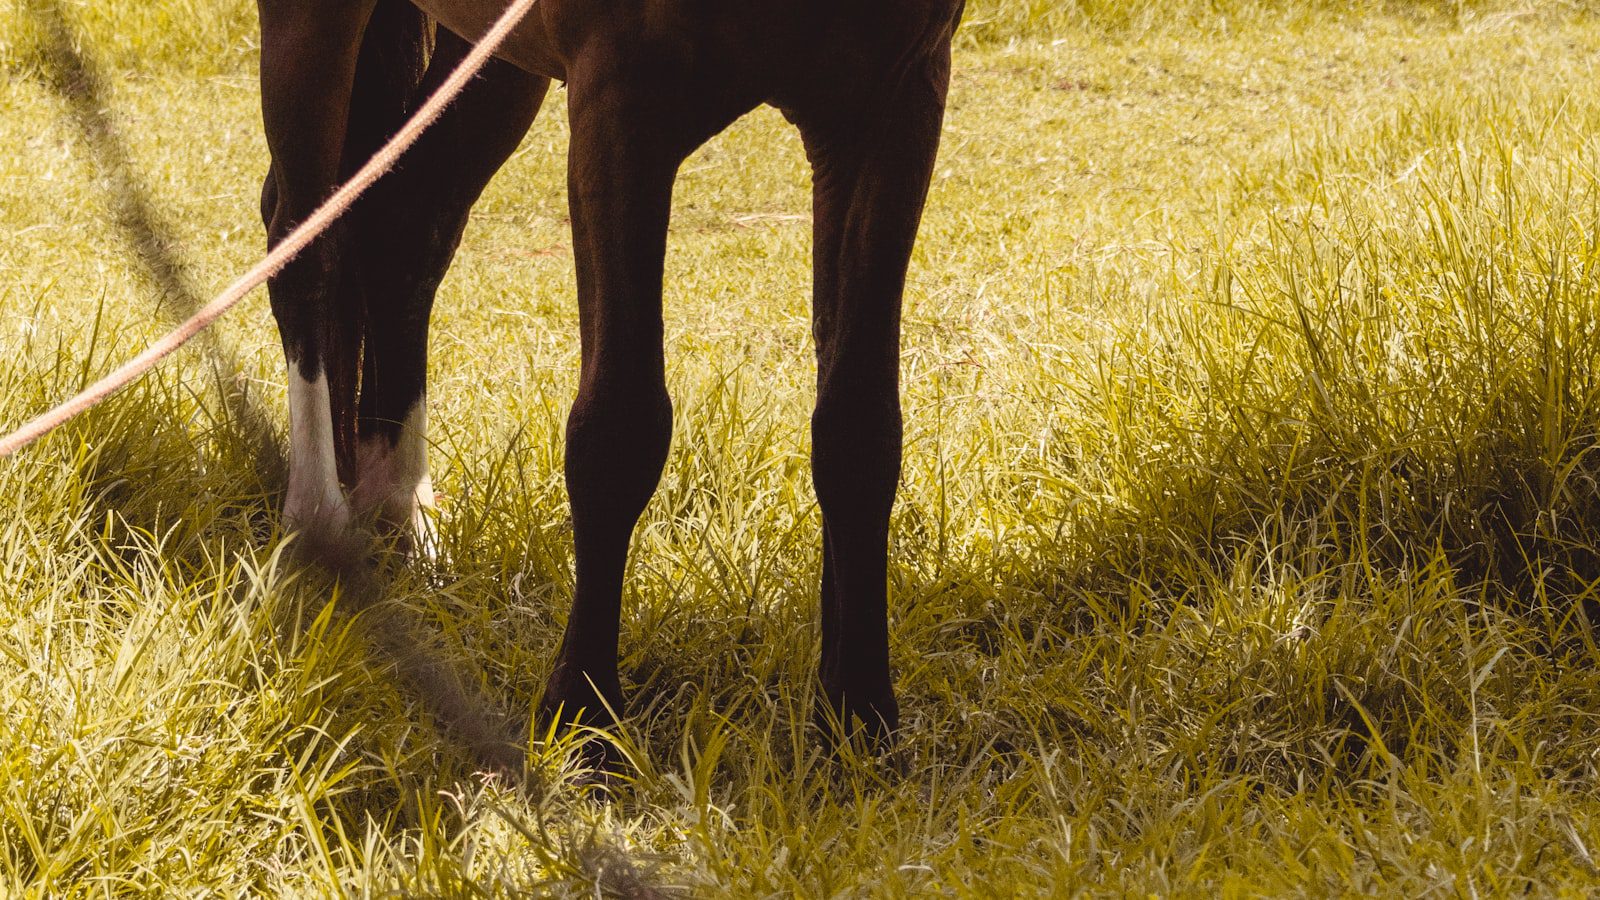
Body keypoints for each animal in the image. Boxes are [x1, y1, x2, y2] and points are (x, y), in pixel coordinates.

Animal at [256, 0, 966, 743]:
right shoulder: (622, 100)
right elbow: (620, 426)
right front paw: (582, 712)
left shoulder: (895, 101)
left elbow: (859, 427)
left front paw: (858, 714)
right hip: (314, 24)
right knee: (304, 241)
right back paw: (318, 535)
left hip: (490, 61)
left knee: (406, 221)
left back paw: (400, 513)